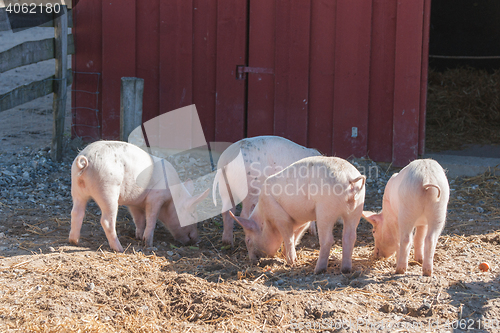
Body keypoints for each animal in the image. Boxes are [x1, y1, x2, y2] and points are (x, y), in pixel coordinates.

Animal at [67, 140, 208, 252]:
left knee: (76, 213)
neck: (173, 198)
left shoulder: (134, 203)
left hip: (76, 188)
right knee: (106, 221)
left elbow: (139, 220)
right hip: (108, 190)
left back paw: (74, 241)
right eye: (192, 215)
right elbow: (151, 218)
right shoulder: (155, 197)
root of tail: (85, 161)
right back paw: (120, 249)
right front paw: (148, 243)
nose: (196, 240)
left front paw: (139, 237)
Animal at [229, 157, 366, 274]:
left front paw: (292, 263)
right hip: (356, 209)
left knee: (328, 240)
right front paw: (286, 256)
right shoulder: (303, 220)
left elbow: (288, 238)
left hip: (326, 209)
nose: (252, 261)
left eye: (248, 240)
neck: (265, 217)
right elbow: (295, 237)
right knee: (350, 237)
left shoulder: (279, 216)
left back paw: (318, 270)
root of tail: (350, 178)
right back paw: (346, 270)